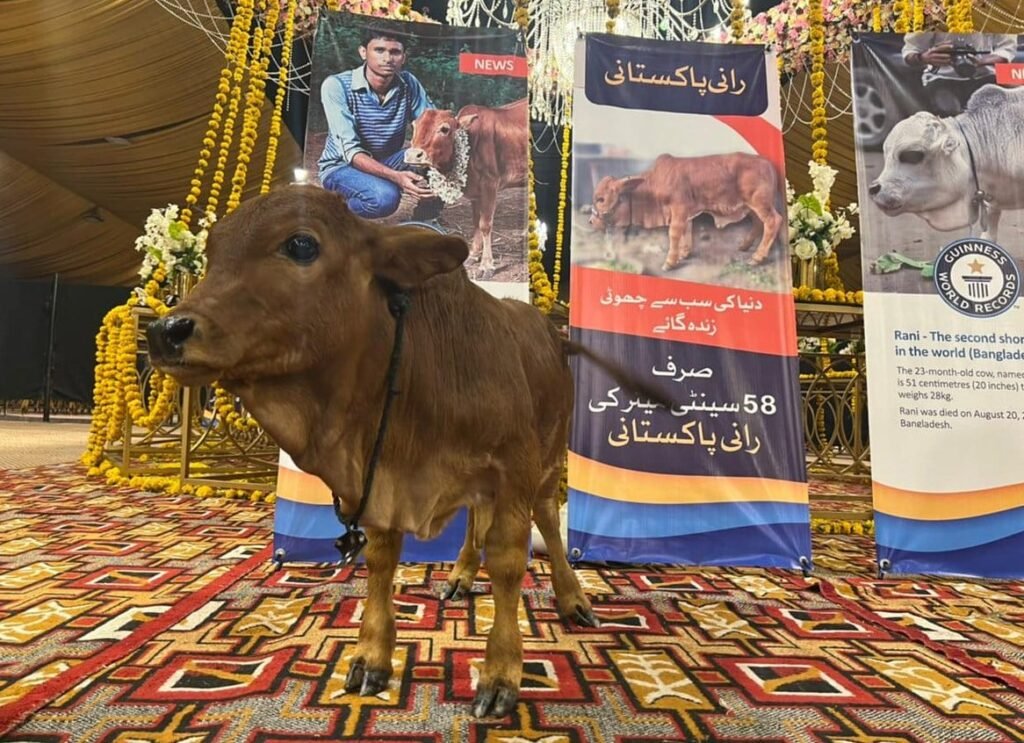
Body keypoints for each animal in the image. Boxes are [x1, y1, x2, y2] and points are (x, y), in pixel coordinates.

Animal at [145, 185, 669, 719]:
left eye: (302, 245)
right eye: (213, 252)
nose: (167, 331)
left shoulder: (513, 470)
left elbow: (507, 562)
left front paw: (501, 672)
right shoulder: (382, 479)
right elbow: (381, 559)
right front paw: (371, 656)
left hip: (546, 459)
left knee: (546, 520)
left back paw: (572, 598)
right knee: (475, 519)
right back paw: (461, 573)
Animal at [404, 97, 528, 280]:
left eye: (444, 129)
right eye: (414, 125)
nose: (413, 155)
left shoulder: (490, 184)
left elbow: (485, 225)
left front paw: (486, 265)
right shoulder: (476, 192)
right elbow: (476, 223)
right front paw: (473, 255)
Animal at [588, 151, 784, 271]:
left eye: (601, 199)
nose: (590, 221)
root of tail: (767, 163)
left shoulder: (679, 209)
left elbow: (674, 233)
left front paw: (670, 262)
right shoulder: (685, 213)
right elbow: (686, 231)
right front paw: (684, 253)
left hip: (760, 203)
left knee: (773, 221)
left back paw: (757, 257)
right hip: (750, 206)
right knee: (758, 223)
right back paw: (745, 246)